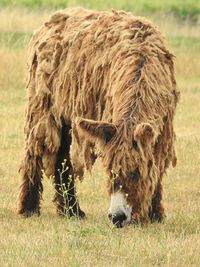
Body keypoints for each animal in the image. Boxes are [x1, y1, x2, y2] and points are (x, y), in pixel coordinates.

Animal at [18, 7, 179, 226]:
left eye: (135, 172)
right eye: (110, 170)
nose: (117, 217)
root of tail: (53, 20)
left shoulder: (163, 131)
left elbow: (156, 167)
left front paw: (154, 214)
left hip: (67, 115)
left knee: (61, 159)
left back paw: (71, 211)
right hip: (44, 107)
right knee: (35, 153)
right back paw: (29, 208)